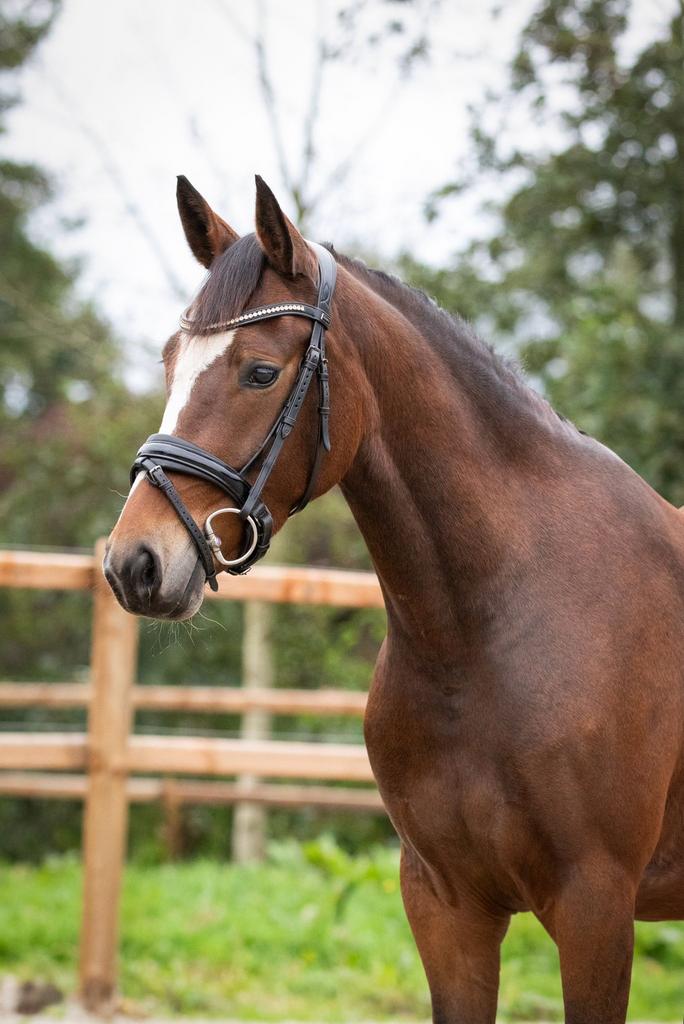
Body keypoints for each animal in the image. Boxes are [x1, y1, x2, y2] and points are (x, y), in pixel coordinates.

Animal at [105, 174, 684, 1023]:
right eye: (171, 361)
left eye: (259, 372)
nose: (134, 564)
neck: (482, 639)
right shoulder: (446, 907)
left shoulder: (596, 911)